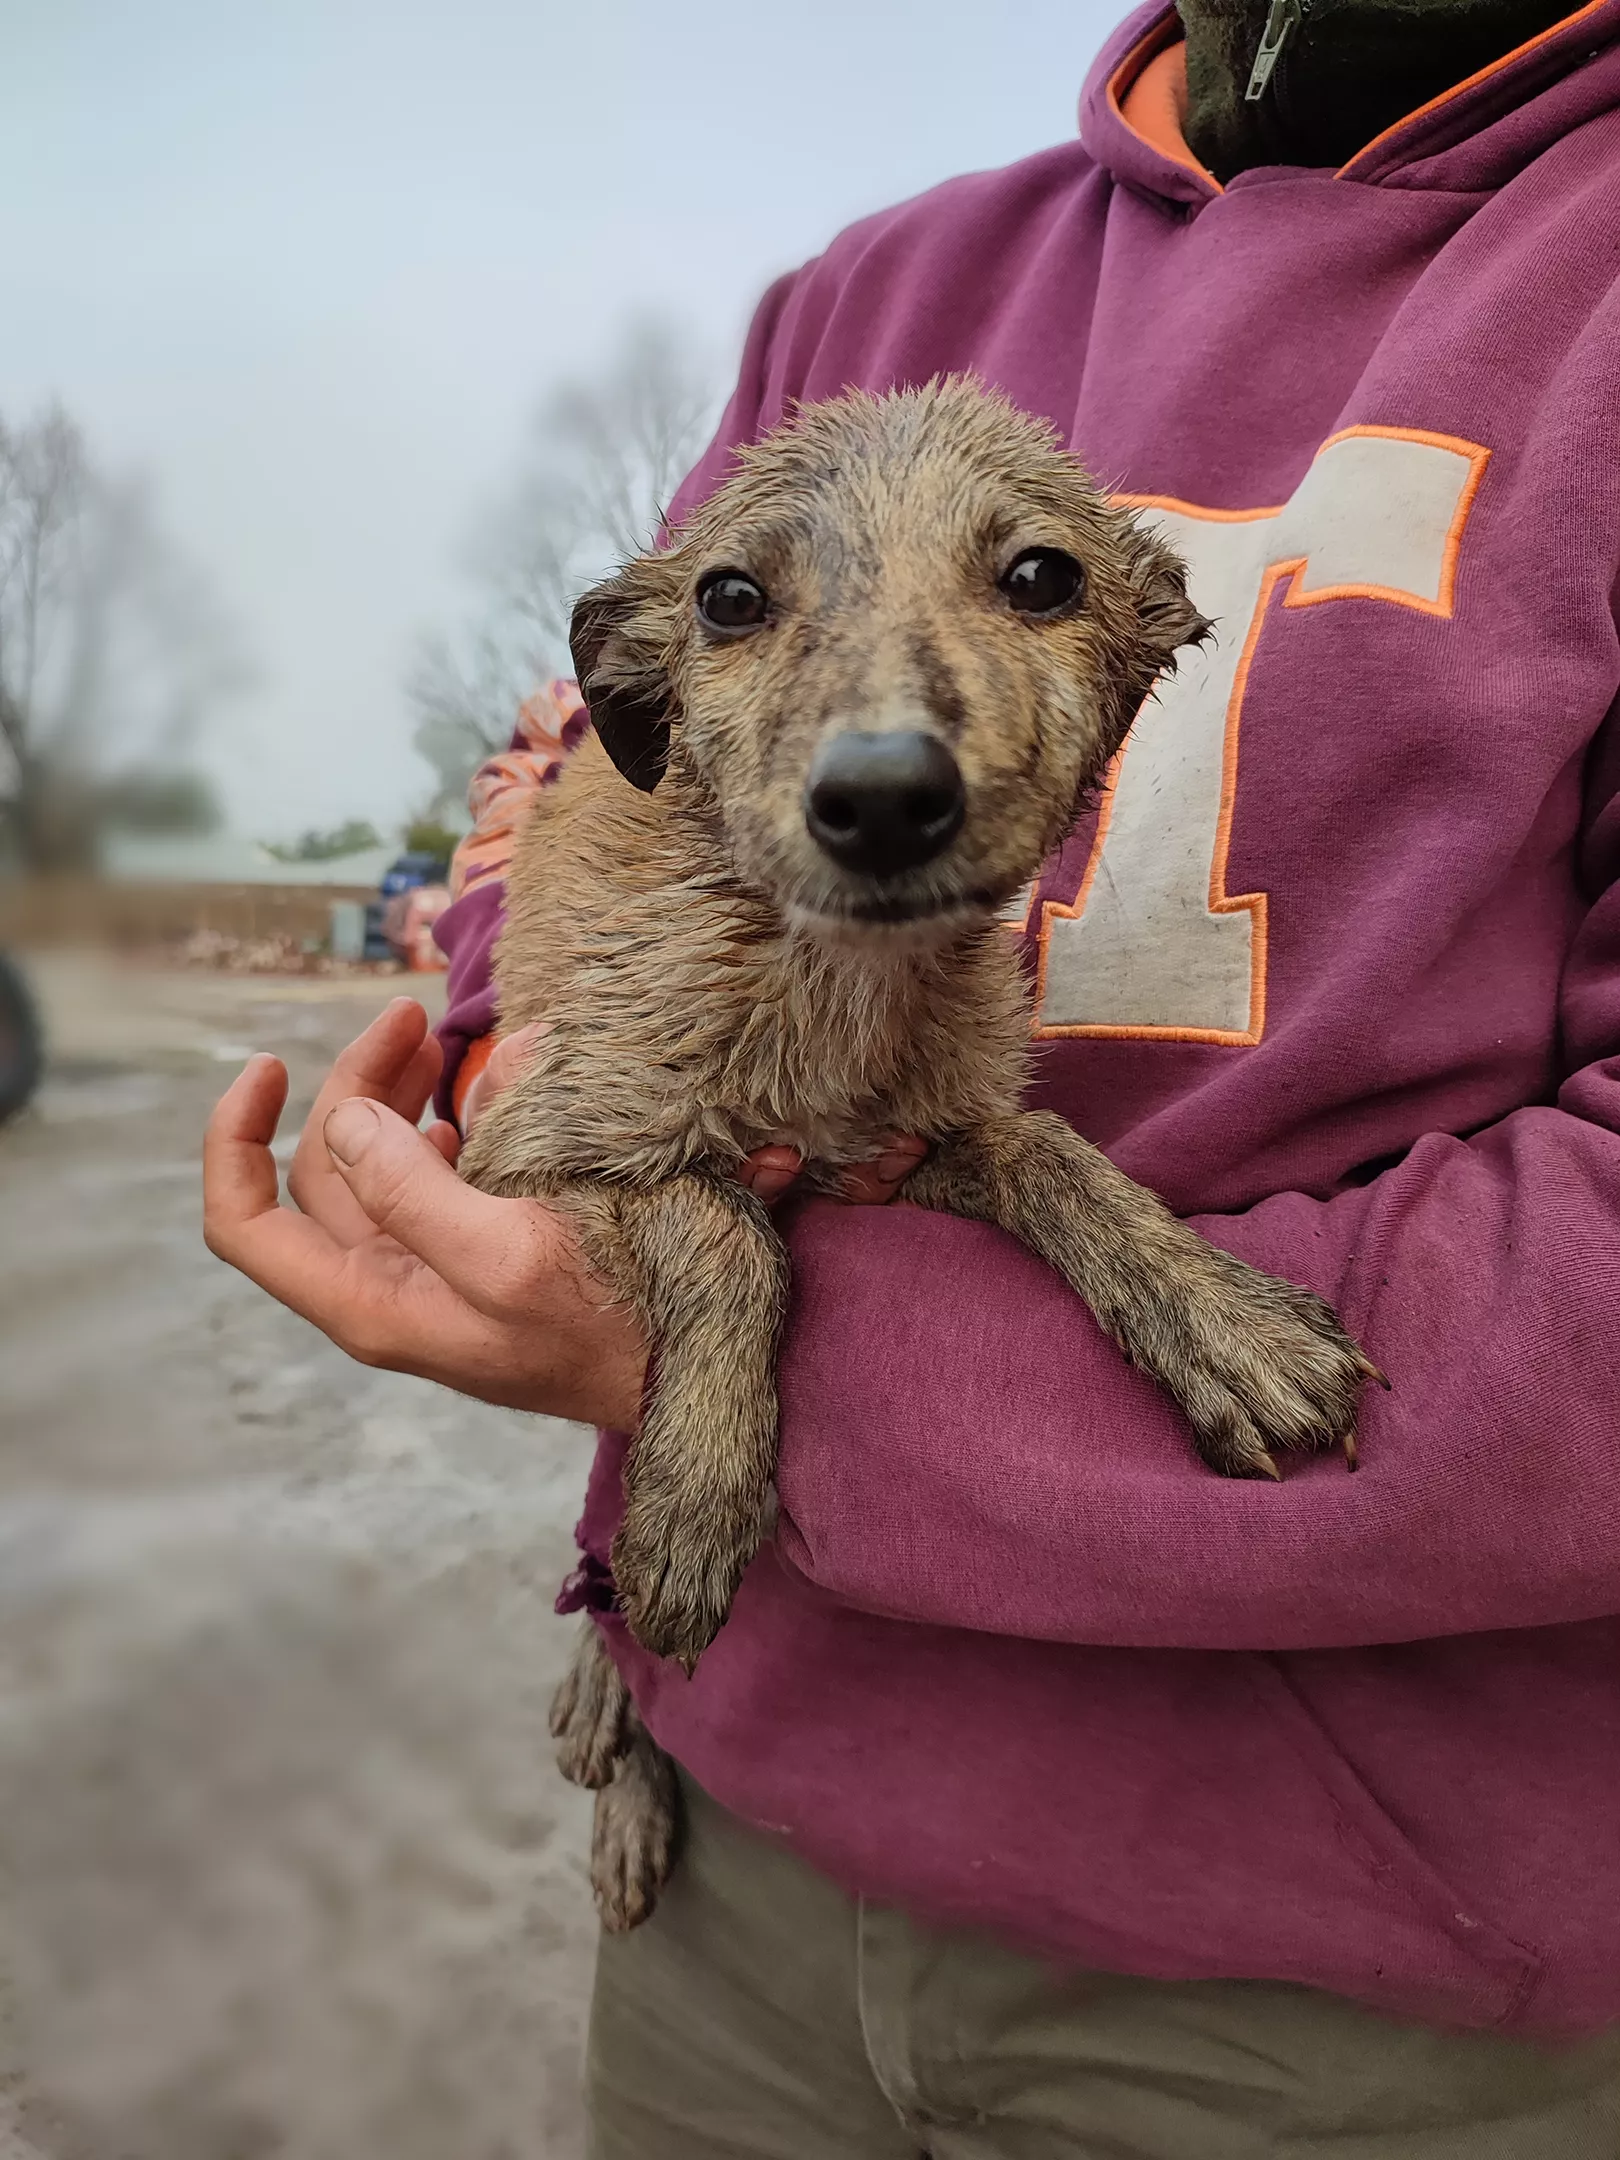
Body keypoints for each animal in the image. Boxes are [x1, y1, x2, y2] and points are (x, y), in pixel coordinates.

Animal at [457, 380, 1382, 1935]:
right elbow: (729, 1234)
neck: (835, 984)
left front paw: (1222, 1321)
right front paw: (697, 1505)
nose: (884, 799)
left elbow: (1043, 1145)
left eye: (1041, 576)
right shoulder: (534, 1141)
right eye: (727, 597)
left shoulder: (899, 1146)